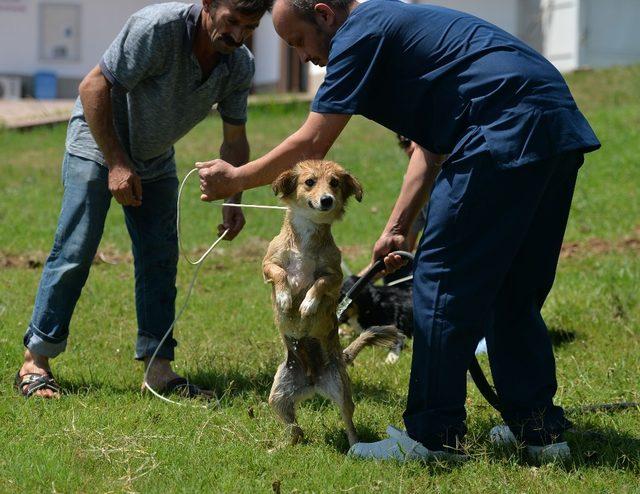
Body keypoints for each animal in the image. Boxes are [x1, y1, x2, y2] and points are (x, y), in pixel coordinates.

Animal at [262, 160, 398, 446]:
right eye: (309, 182)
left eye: (335, 183)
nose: (327, 200)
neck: (305, 240)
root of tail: (313, 381)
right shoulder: (268, 264)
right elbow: (280, 274)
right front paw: (284, 297)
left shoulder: (334, 276)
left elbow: (318, 283)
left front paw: (308, 305)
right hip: (278, 395)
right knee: (295, 429)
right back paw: (283, 447)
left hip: (342, 392)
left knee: (349, 425)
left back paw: (355, 447)